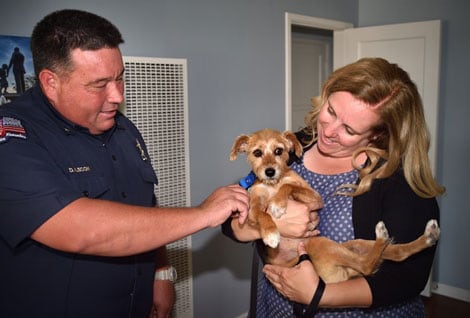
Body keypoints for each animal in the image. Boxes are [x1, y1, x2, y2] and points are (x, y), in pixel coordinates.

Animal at [231, 128, 440, 282]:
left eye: (278, 151)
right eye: (257, 153)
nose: (270, 171)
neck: (273, 185)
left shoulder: (314, 198)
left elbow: (288, 186)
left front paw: (277, 204)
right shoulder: (252, 211)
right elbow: (262, 213)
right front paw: (271, 234)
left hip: (327, 244)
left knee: (369, 264)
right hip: (351, 245)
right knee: (392, 255)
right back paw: (423, 237)